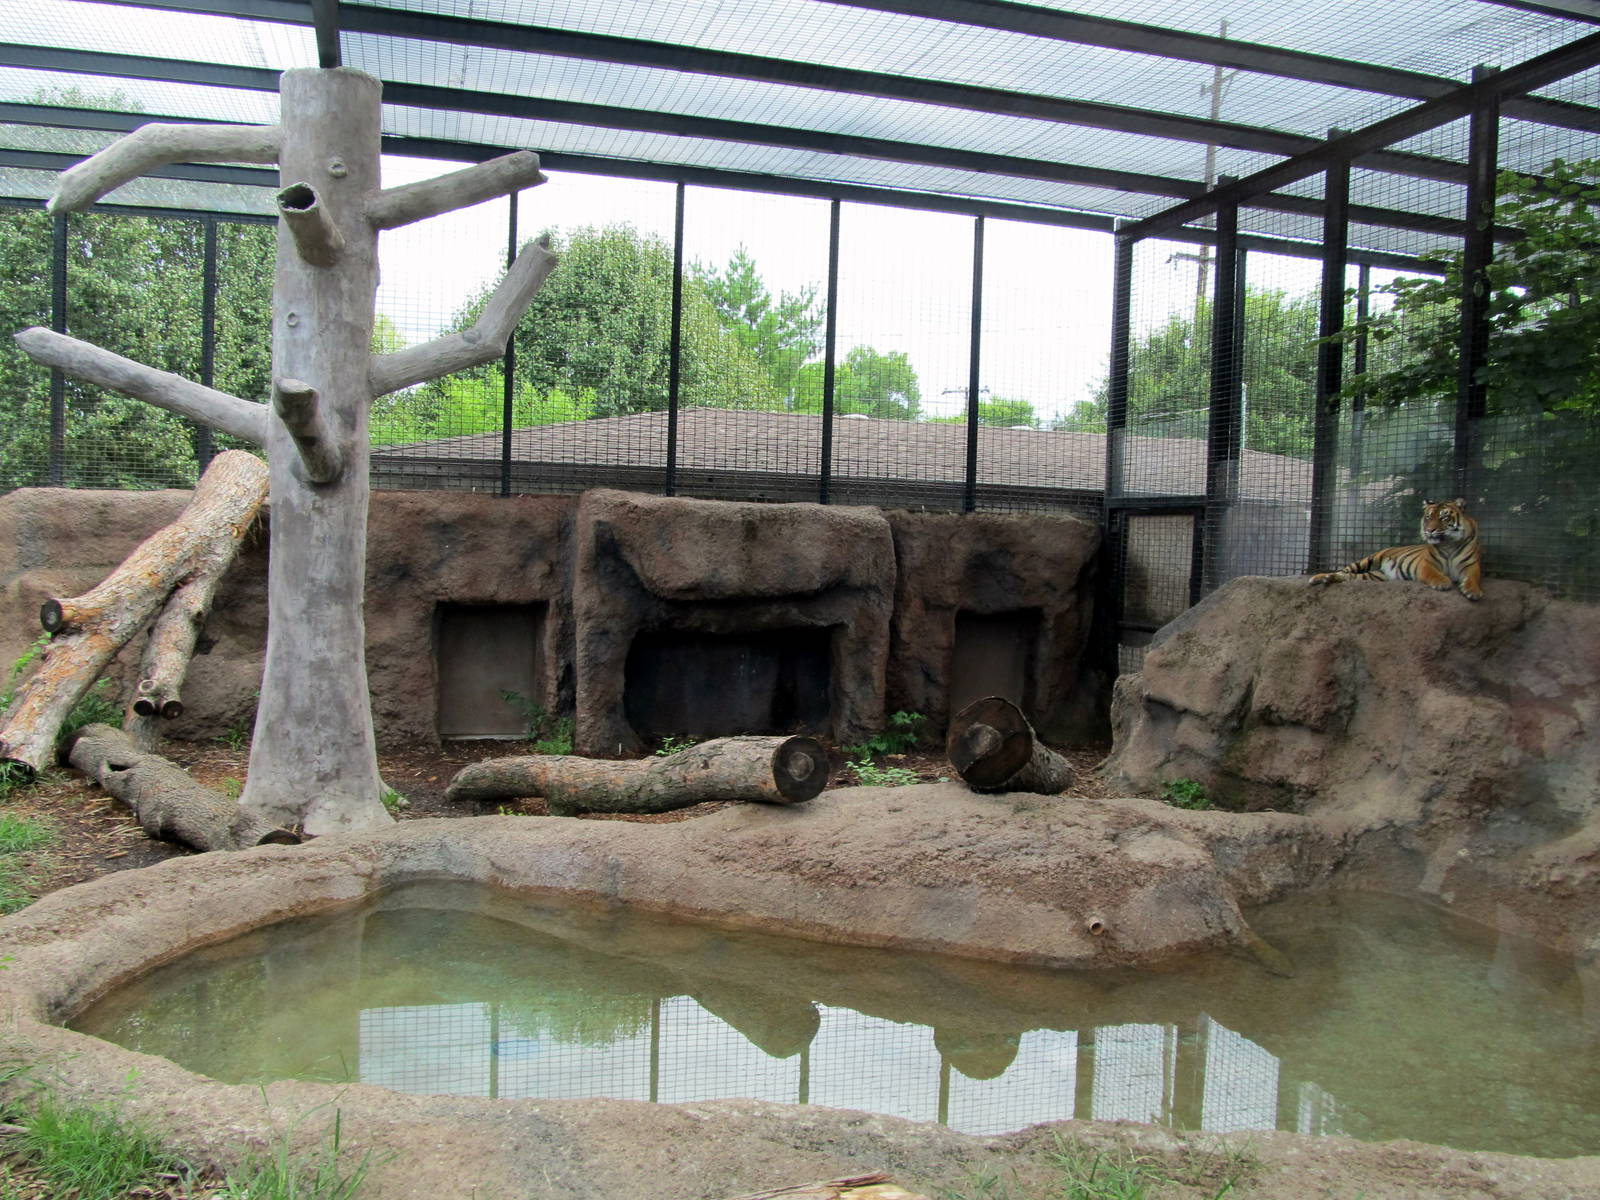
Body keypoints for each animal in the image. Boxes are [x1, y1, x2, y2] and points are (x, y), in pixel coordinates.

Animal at [1309, 497, 1483, 600]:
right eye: (1428, 517)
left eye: (1444, 517)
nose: (1429, 530)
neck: (1449, 543)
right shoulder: (1427, 565)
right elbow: (1433, 574)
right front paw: (1443, 582)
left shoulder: (1471, 565)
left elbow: (1473, 577)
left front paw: (1473, 591)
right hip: (1368, 559)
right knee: (1343, 570)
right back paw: (1319, 577)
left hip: (1375, 576)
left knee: (1350, 577)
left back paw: (1329, 579)